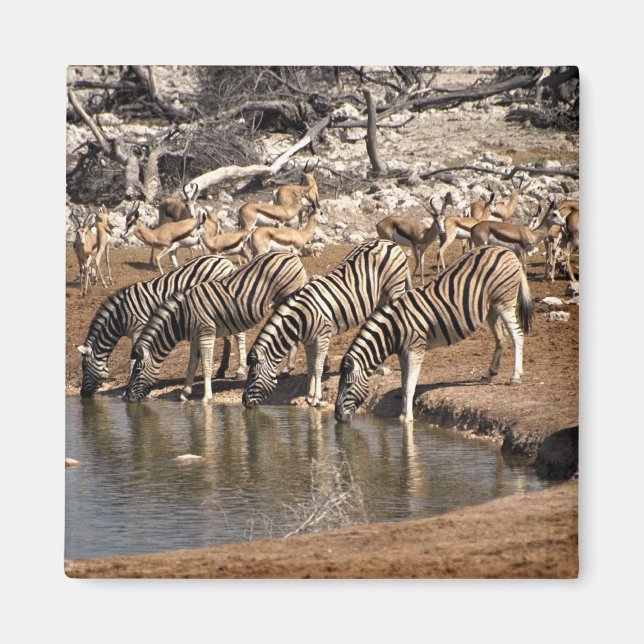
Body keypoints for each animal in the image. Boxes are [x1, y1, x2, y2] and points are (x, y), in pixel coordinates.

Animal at [78, 255, 242, 397]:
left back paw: (239, 371)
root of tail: (224, 260)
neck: (121, 316)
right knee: (229, 336)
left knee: (239, 335)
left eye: (84, 367)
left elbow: (133, 360)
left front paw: (126, 388)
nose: (82, 394)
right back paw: (222, 369)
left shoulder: (139, 329)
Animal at [125, 251, 309, 402]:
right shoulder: (195, 338)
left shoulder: (206, 335)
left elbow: (206, 366)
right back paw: (289, 368)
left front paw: (207, 397)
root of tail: (292, 255)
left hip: (286, 298)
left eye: (137, 371)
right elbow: (192, 365)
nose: (128, 397)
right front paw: (185, 393)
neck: (182, 316)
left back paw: (288, 368)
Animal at [241, 239, 412, 409]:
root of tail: (388, 242)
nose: (244, 402)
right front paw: (309, 396)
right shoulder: (308, 341)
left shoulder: (323, 336)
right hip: (381, 295)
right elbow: (310, 368)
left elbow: (318, 368)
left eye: (253, 375)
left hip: (395, 288)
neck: (301, 316)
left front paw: (316, 399)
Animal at [334, 245, 534, 424]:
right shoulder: (403, 353)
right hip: (491, 306)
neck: (394, 329)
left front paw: (408, 419)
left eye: (348, 385)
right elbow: (404, 385)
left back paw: (515, 376)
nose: (337, 416)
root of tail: (506, 250)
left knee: (517, 335)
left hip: (504, 301)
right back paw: (490, 373)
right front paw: (402, 415)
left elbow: (409, 387)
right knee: (501, 337)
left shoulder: (415, 349)